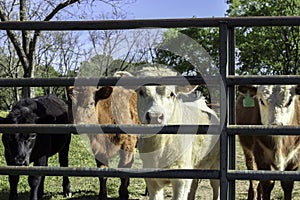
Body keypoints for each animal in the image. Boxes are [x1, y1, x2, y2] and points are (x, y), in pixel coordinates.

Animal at [122, 67, 220, 200]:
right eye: (141, 92)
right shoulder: (151, 178)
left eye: (171, 94)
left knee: (216, 187)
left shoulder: (182, 178)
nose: (155, 116)